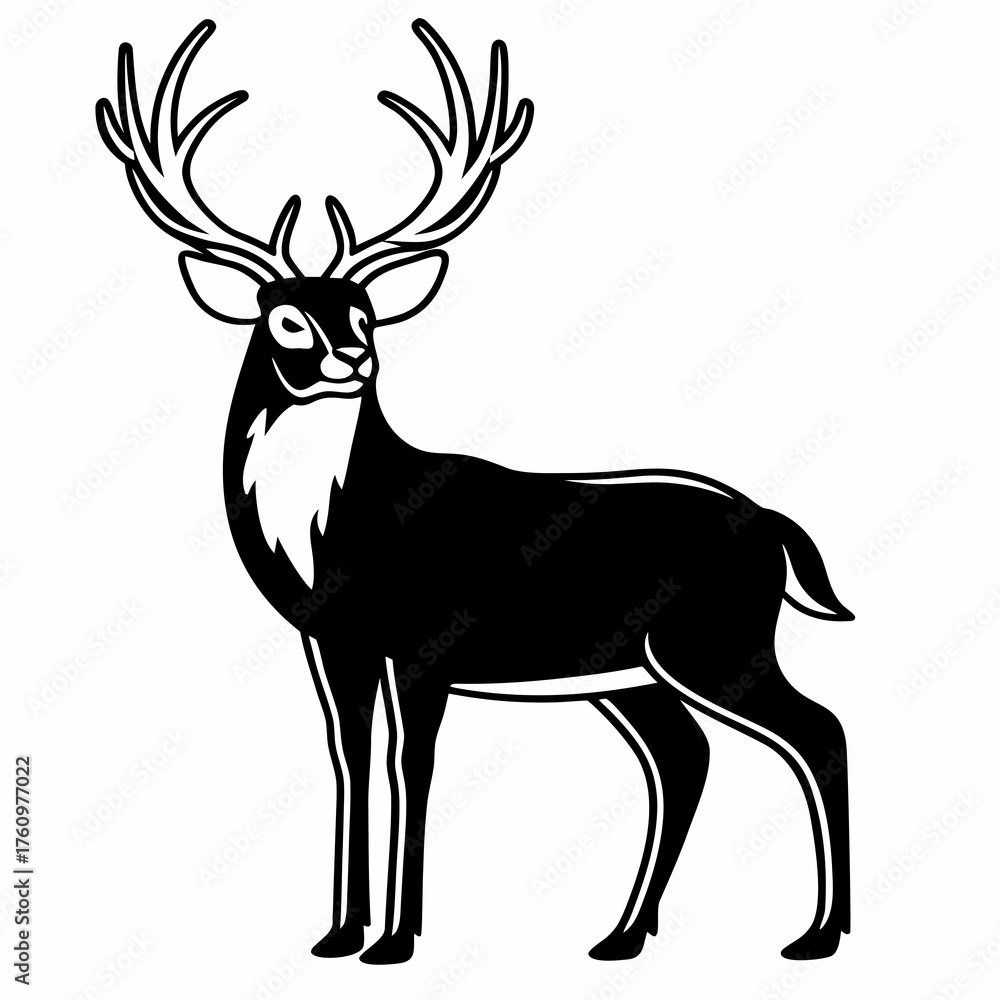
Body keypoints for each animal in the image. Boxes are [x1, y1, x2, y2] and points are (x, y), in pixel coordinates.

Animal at [97, 18, 854, 966]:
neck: (336, 532)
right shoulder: (333, 641)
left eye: (366, 312)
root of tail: (778, 529)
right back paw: (623, 936)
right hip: (632, 668)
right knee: (686, 758)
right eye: (287, 316)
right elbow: (349, 758)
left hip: (713, 640)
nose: (355, 357)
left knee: (818, 731)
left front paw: (396, 939)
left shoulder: (429, 636)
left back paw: (818, 935)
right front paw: (337, 933)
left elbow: (409, 766)